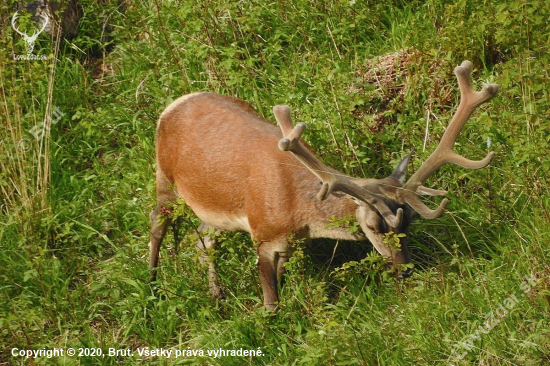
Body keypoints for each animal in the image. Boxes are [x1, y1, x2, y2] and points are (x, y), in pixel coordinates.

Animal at [150, 61, 500, 310]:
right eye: (373, 226)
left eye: (409, 222)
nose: (406, 269)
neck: (298, 213)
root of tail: (174, 104)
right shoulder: (262, 232)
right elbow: (271, 302)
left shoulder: (291, 242)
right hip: (164, 175)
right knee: (158, 222)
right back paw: (153, 286)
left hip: (211, 210)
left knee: (203, 240)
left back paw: (217, 295)